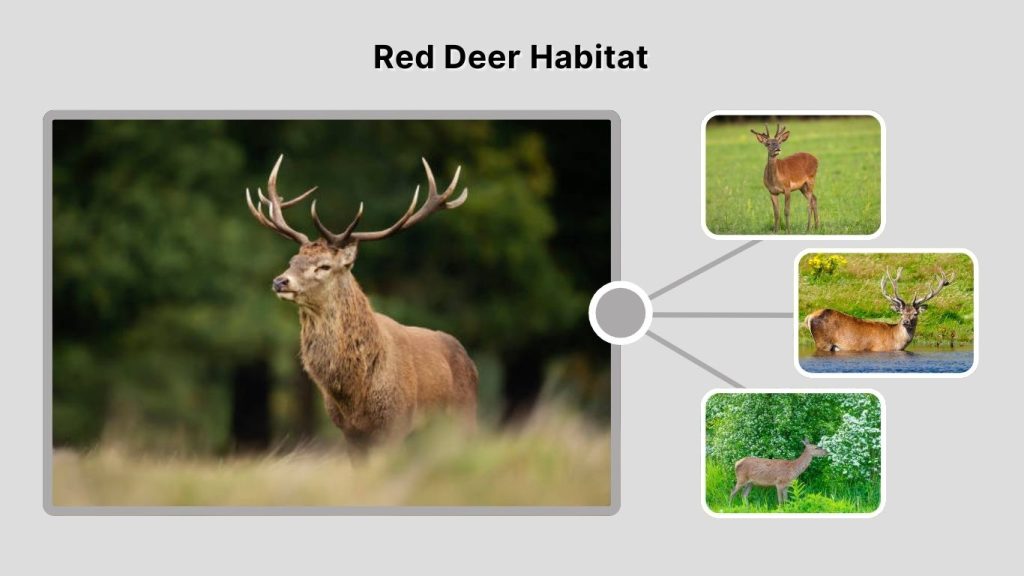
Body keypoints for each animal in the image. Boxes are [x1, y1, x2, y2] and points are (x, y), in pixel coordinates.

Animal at [244, 154, 479, 456]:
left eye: (324, 266)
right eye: (292, 260)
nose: (280, 281)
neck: (355, 396)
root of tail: (470, 362)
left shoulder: (395, 425)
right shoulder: (349, 433)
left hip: (465, 420)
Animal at [805, 267, 955, 352]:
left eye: (915, 313)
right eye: (901, 313)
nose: (906, 322)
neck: (895, 341)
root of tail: (810, 316)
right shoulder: (879, 348)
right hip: (823, 342)